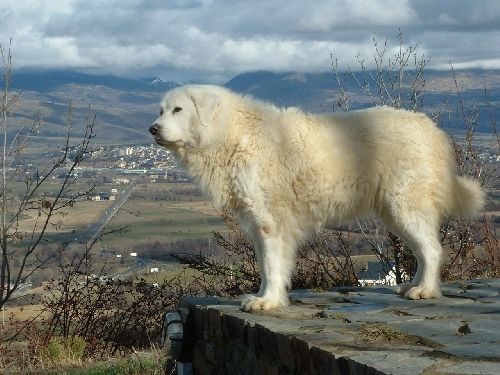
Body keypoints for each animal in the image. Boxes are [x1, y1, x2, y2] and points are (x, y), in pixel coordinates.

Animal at [148, 85, 484, 312]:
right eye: (161, 110)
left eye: (178, 110)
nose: (152, 129)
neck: (231, 133)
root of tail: (432, 129)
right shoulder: (259, 224)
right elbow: (267, 265)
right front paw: (266, 297)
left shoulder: (270, 222)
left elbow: (271, 265)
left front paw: (268, 302)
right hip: (395, 212)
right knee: (422, 250)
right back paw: (412, 286)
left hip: (404, 206)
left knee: (432, 250)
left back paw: (424, 290)